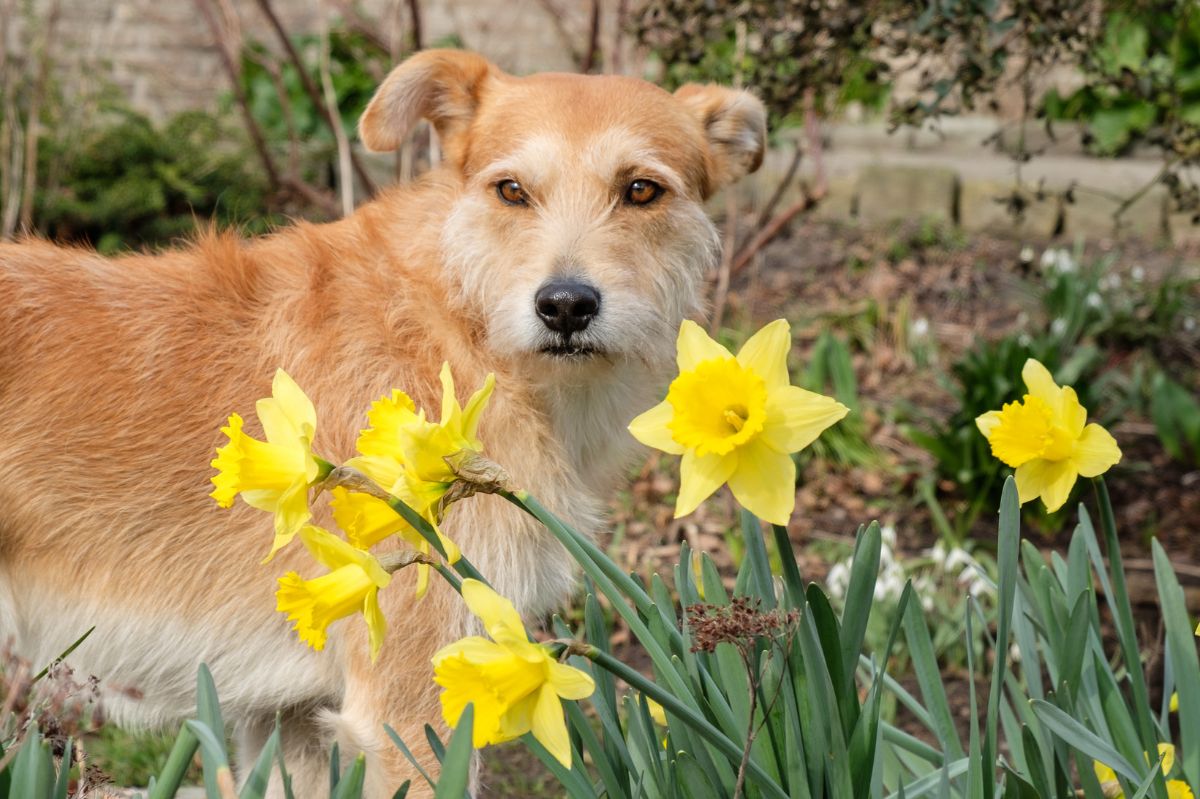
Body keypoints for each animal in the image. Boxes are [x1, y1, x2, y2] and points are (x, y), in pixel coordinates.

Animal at [0, 51, 768, 796]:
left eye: (641, 190)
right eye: (511, 191)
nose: (566, 306)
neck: (453, 325)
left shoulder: (289, 721)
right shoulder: (414, 712)